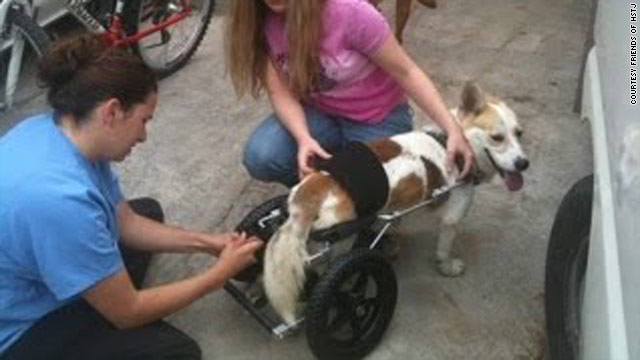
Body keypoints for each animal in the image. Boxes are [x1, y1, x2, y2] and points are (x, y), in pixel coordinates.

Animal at [262, 83, 528, 324]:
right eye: (497, 138)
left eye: (519, 133)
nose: (524, 163)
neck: (453, 140)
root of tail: (316, 185)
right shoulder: (453, 218)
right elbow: (443, 251)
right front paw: (447, 267)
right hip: (342, 239)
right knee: (319, 269)